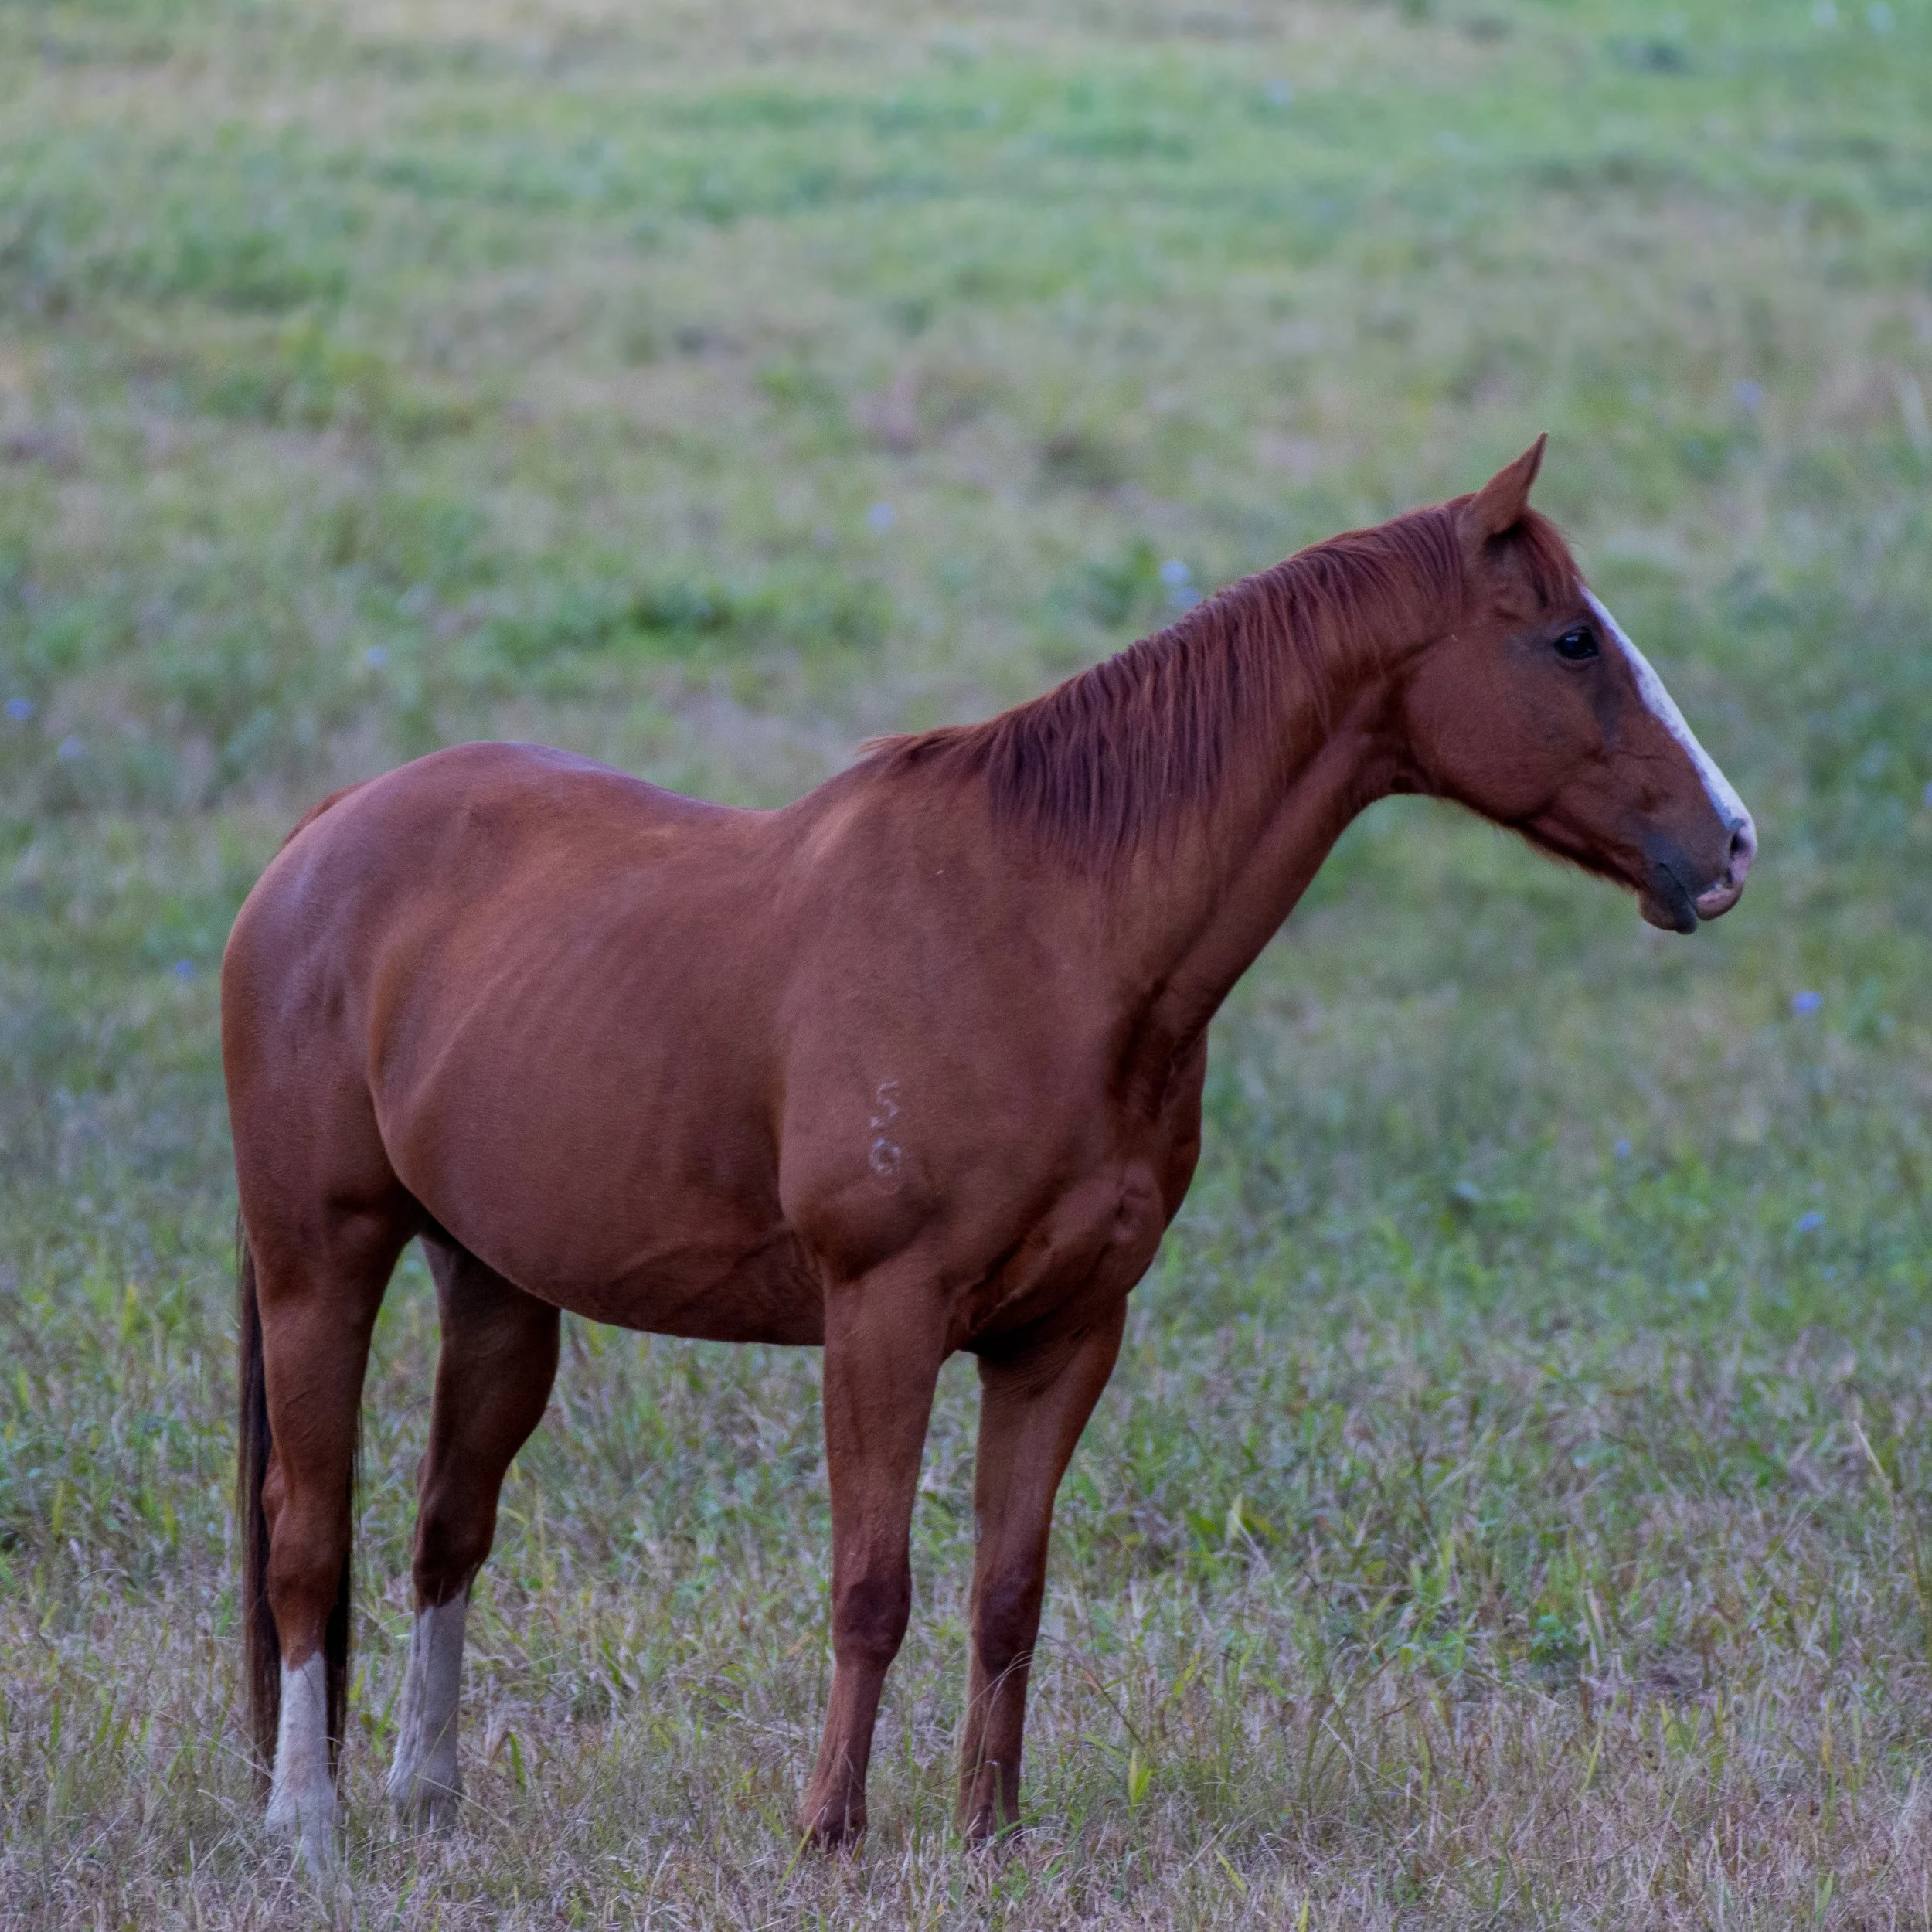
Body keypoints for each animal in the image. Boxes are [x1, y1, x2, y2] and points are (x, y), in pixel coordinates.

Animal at [224, 438, 1754, 1866]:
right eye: (1573, 640)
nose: (1731, 845)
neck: (1050, 936)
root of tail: (321, 837)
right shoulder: (882, 1317)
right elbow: (872, 1587)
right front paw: (830, 1832)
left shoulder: (1063, 1334)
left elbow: (1006, 1593)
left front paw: (989, 1832)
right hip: (318, 1264)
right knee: (307, 1532)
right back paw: (305, 1818)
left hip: (493, 1285)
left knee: (446, 1530)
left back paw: (424, 1796)